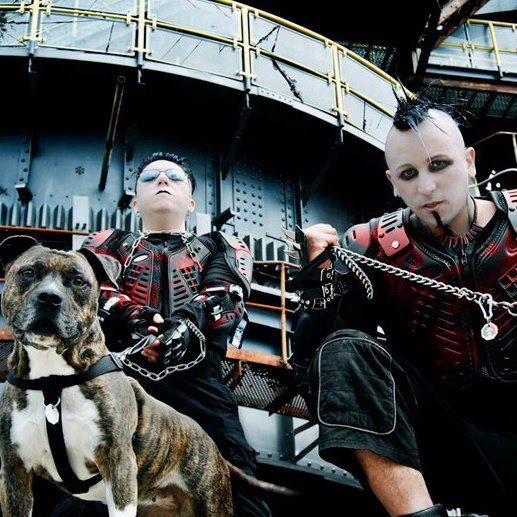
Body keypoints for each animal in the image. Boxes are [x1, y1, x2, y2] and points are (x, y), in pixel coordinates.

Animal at [0, 236, 284, 512]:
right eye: (28, 272)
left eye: (79, 281)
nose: (49, 297)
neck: (52, 381)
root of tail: (215, 448)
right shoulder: (14, 471)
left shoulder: (119, 466)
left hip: (213, 500)